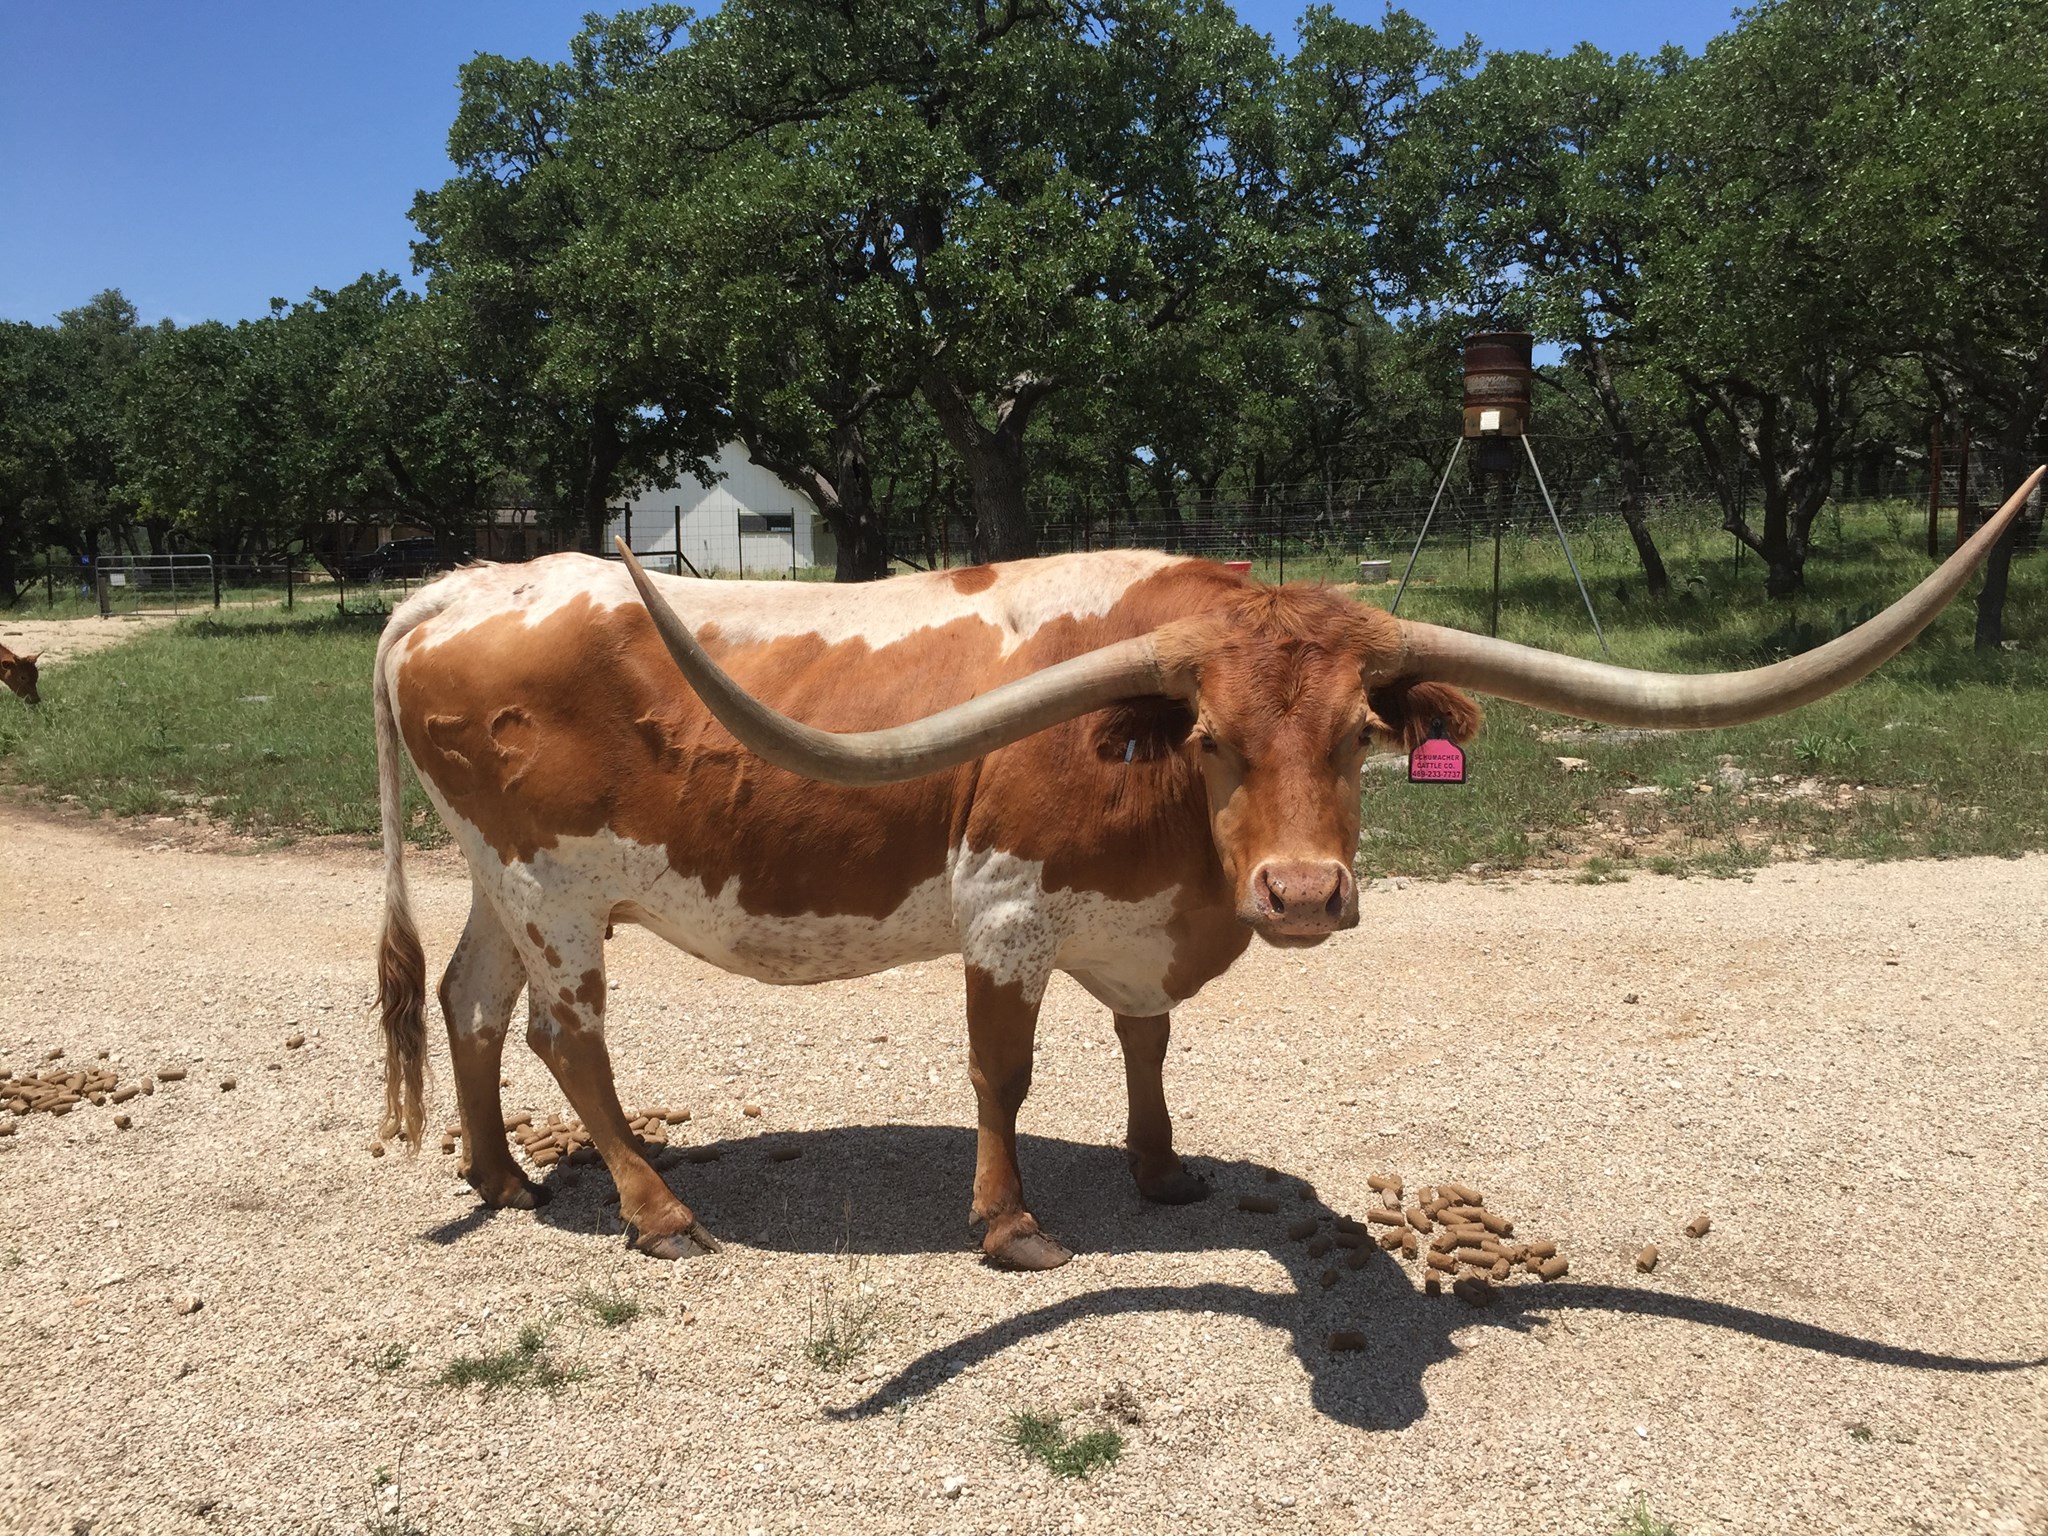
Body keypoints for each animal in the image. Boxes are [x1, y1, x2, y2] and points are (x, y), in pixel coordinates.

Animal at [372, 469, 2041, 1268]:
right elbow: (1004, 1078)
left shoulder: (1144, 927)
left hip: (495, 879)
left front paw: (1165, 1172)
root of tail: (457, 588)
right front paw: (1013, 1225)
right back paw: (653, 1209)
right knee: (568, 1036)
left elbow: (1150, 1040)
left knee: (467, 1007)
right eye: (1218, 738)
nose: (1300, 896)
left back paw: (505, 1179)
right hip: (554, 888)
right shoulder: (1003, 909)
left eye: (1366, 734)